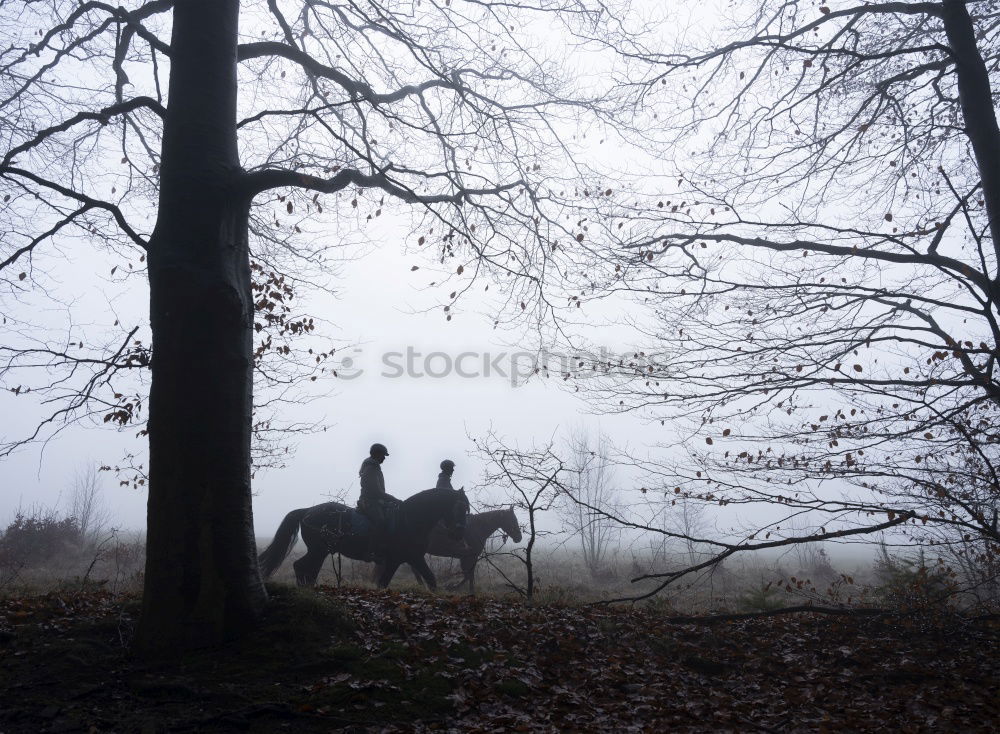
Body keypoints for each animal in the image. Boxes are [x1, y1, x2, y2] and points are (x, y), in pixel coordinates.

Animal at [258, 488, 468, 592]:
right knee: (302, 567)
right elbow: (387, 583)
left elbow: (428, 580)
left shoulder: (407, 559)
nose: (459, 534)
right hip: (318, 550)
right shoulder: (404, 559)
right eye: (460, 507)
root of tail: (307, 511)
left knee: (306, 568)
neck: (410, 520)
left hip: (319, 551)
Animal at [376, 508, 524, 596]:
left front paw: (466, 590)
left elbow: (469, 575)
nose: (519, 538)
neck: (476, 528)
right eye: (512, 520)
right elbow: (468, 575)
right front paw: (454, 588)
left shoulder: (470, 557)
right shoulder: (467, 557)